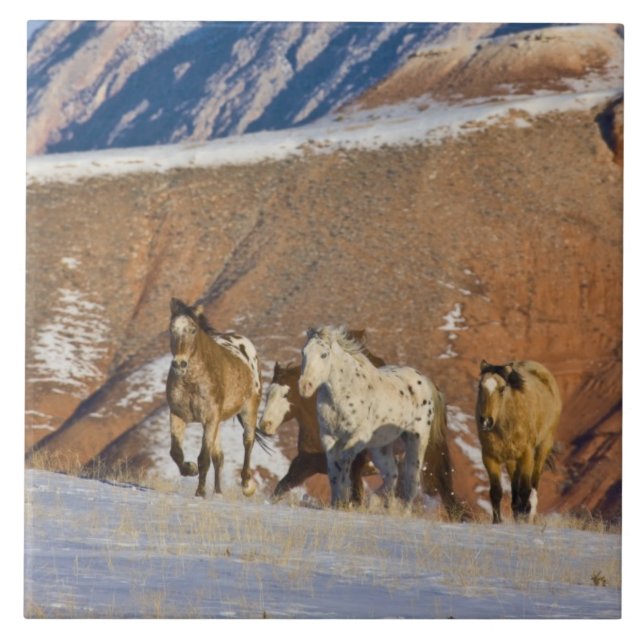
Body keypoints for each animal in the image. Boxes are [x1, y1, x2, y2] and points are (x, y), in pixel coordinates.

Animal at [166, 298, 270, 498]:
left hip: (249, 409)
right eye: (171, 329)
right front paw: (190, 469)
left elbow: (203, 458)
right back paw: (218, 492)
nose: (179, 364)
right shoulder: (177, 415)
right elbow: (176, 452)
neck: (192, 381)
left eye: (193, 330)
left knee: (248, 441)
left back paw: (247, 485)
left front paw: (200, 492)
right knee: (219, 456)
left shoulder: (210, 418)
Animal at [259, 330, 385, 503]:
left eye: (286, 394)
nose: (265, 425)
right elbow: (280, 488)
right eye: (268, 392)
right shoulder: (305, 464)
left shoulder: (354, 470)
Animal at [298, 325, 440, 508]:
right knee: (391, 474)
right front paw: (337, 501)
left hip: (416, 439)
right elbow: (333, 470)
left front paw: (344, 500)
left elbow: (343, 462)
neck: (342, 394)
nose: (304, 386)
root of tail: (423, 379)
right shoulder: (328, 437)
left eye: (324, 354)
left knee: (411, 480)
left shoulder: (357, 437)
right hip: (381, 447)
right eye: (303, 352)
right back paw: (380, 502)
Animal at [476, 359, 561, 524]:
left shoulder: (526, 454)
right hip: (511, 458)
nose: (486, 421)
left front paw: (525, 516)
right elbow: (496, 491)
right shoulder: (489, 456)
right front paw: (497, 521)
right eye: (479, 387)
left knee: (533, 484)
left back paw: (529, 513)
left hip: (543, 446)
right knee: (515, 484)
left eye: (502, 389)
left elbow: (525, 489)